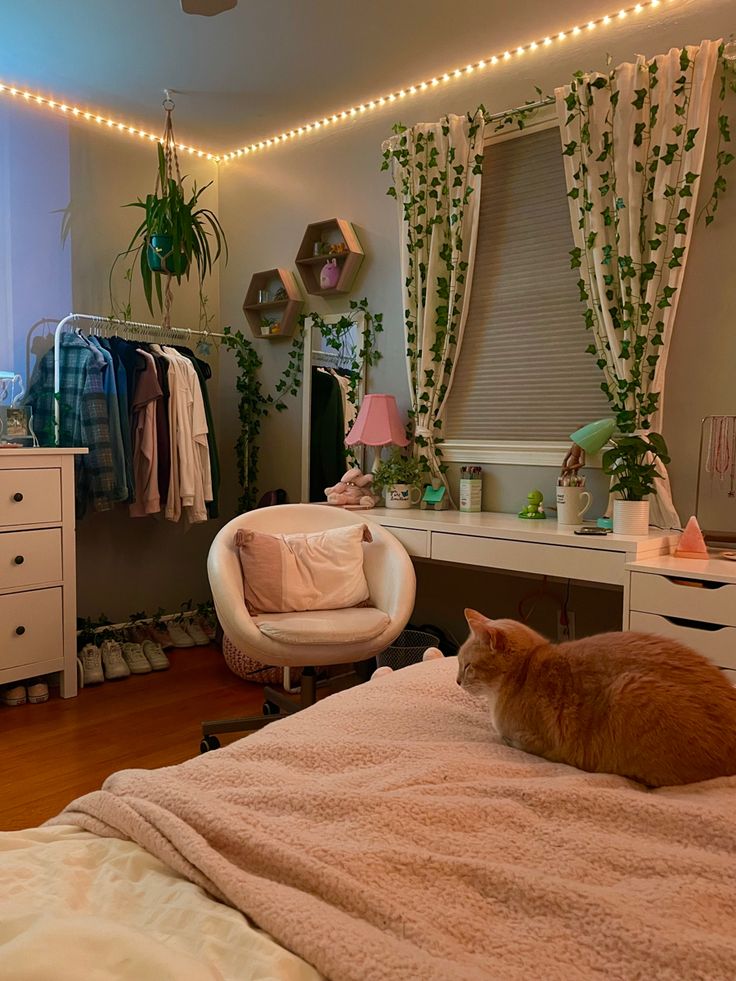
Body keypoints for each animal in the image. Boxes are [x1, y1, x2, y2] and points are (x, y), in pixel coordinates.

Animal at [458, 604, 736, 788]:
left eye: (467, 666)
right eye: (460, 664)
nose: (457, 681)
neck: (525, 669)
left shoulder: (529, 741)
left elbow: (509, 740)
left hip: (630, 691)